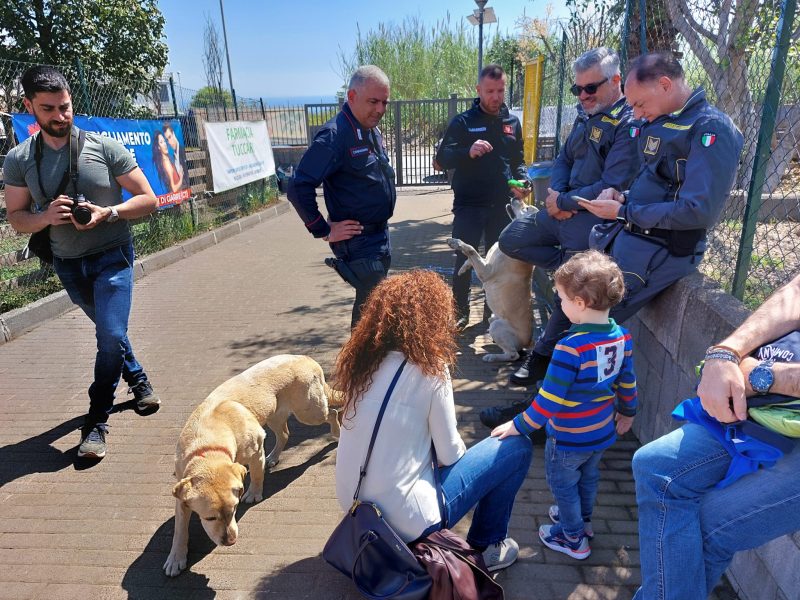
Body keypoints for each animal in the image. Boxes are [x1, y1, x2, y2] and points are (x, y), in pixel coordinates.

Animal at [162, 354, 340, 576]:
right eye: (210, 518)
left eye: (234, 510)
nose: (230, 541)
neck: (208, 445)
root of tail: (305, 358)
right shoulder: (181, 493)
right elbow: (179, 529)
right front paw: (175, 557)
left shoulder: (256, 447)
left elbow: (255, 474)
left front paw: (254, 493)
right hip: (275, 414)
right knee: (285, 434)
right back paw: (274, 457)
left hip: (309, 411)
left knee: (333, 413)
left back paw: (337, 433)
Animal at [450, 199, 536, 364]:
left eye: (527, 207)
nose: (515, 197)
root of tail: (529, 342)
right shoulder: (485, 262)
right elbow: (472, 258)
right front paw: (462, 269)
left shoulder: (486, 271)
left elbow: (470, 249)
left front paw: (456, 242)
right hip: (493, 319)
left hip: (497, 326)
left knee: (513, 355)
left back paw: (492, 356)